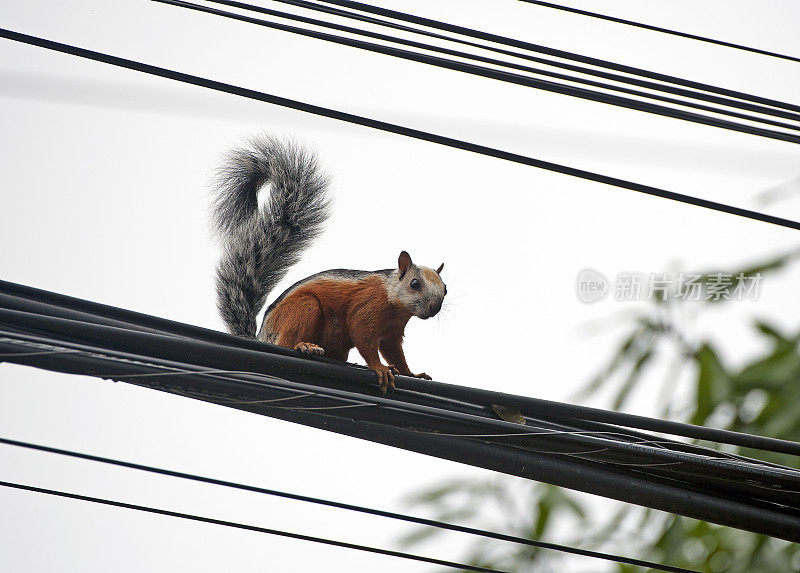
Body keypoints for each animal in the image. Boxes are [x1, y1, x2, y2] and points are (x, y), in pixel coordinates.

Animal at [209, 136, 446, 392]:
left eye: (445, 289)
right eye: (415, 284)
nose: (435, 307)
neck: (393, 301)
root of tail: (263, 336)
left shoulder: (393, 331)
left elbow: (395, 353)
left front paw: (412, 373)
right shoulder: (366, 306)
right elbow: (364, 337)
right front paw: (380, 368)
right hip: (303, 308)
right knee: (287, 341)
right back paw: (304, 346)